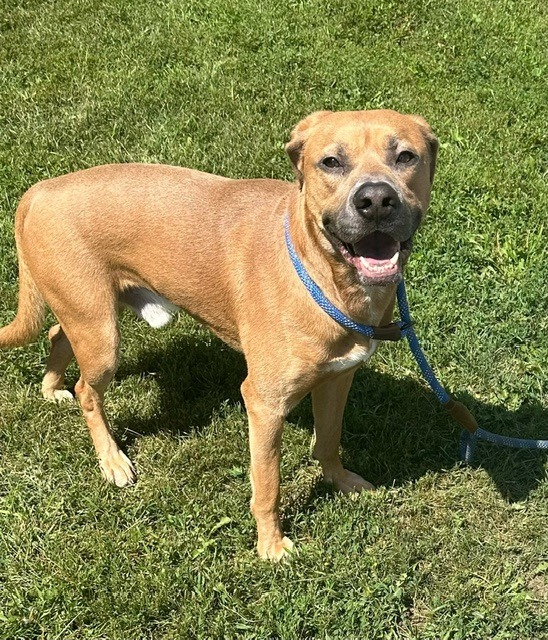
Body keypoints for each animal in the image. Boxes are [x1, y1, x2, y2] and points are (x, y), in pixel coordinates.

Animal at [0, 110, 436, 560]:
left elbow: (329, 439)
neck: (322, 277)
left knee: (57, 335)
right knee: (88, 390)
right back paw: (112, 460)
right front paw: (271, 545)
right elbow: (268, 484)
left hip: (88, 312)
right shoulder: (264, 403)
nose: (376, 201)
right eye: (331, 162)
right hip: (101, 337)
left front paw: (340, 480)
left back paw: (51, 388)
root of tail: (39, 191)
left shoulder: (338, 378)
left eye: (405, 156)